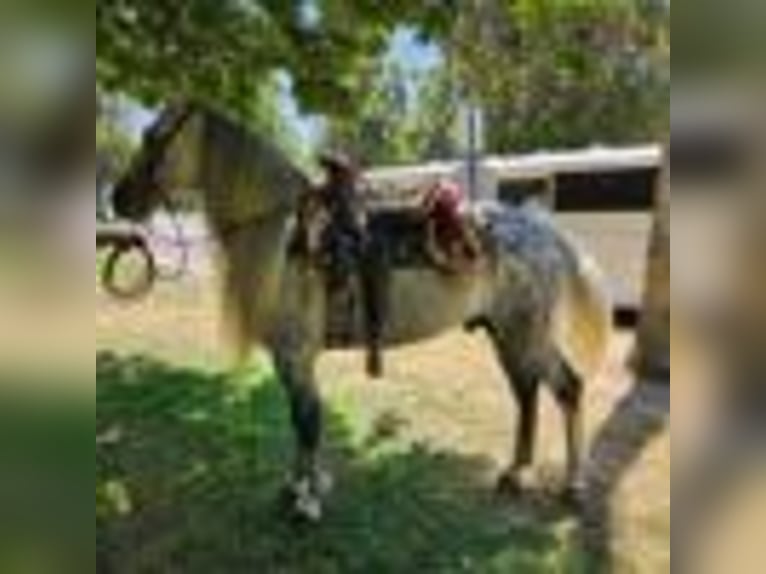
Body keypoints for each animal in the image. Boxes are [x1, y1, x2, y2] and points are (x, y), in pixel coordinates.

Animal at [112, 103, 612, 522]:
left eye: (156, 137)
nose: (118, 198)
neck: (288, 239)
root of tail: (544, 229)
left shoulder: (296, 355)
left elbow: (308, 422)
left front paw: (307, 501)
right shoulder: (289, 359)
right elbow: (300, 420)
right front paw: (296, 487)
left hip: (527, 333)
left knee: (567, 388)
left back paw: (572, 486)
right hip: (507, 333)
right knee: (527, 392)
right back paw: (514, 473)